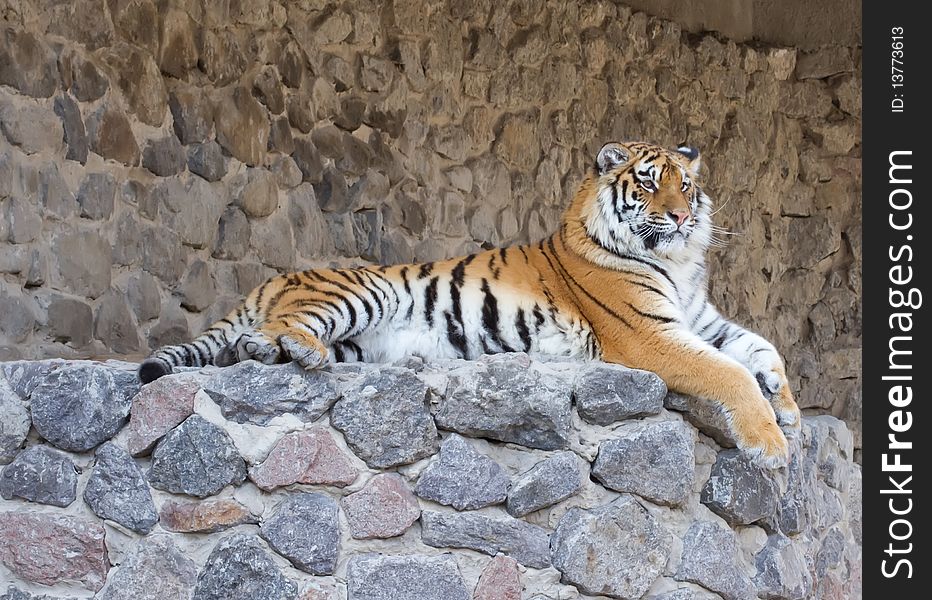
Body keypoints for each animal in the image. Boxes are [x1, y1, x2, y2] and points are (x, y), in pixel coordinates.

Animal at [140, 142, 800, 468]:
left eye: (685, 185)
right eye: (647, 183)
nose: (684, 216)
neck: (680, 261)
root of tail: (269, 283)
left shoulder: (699, 320)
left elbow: (759, 347)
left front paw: (788, 407)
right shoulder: (649, 334)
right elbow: (729, 372)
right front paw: (770, 445)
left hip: (355, 337)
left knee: (245, 345)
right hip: (363, 291)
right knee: (277, 329)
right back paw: (302, 353)